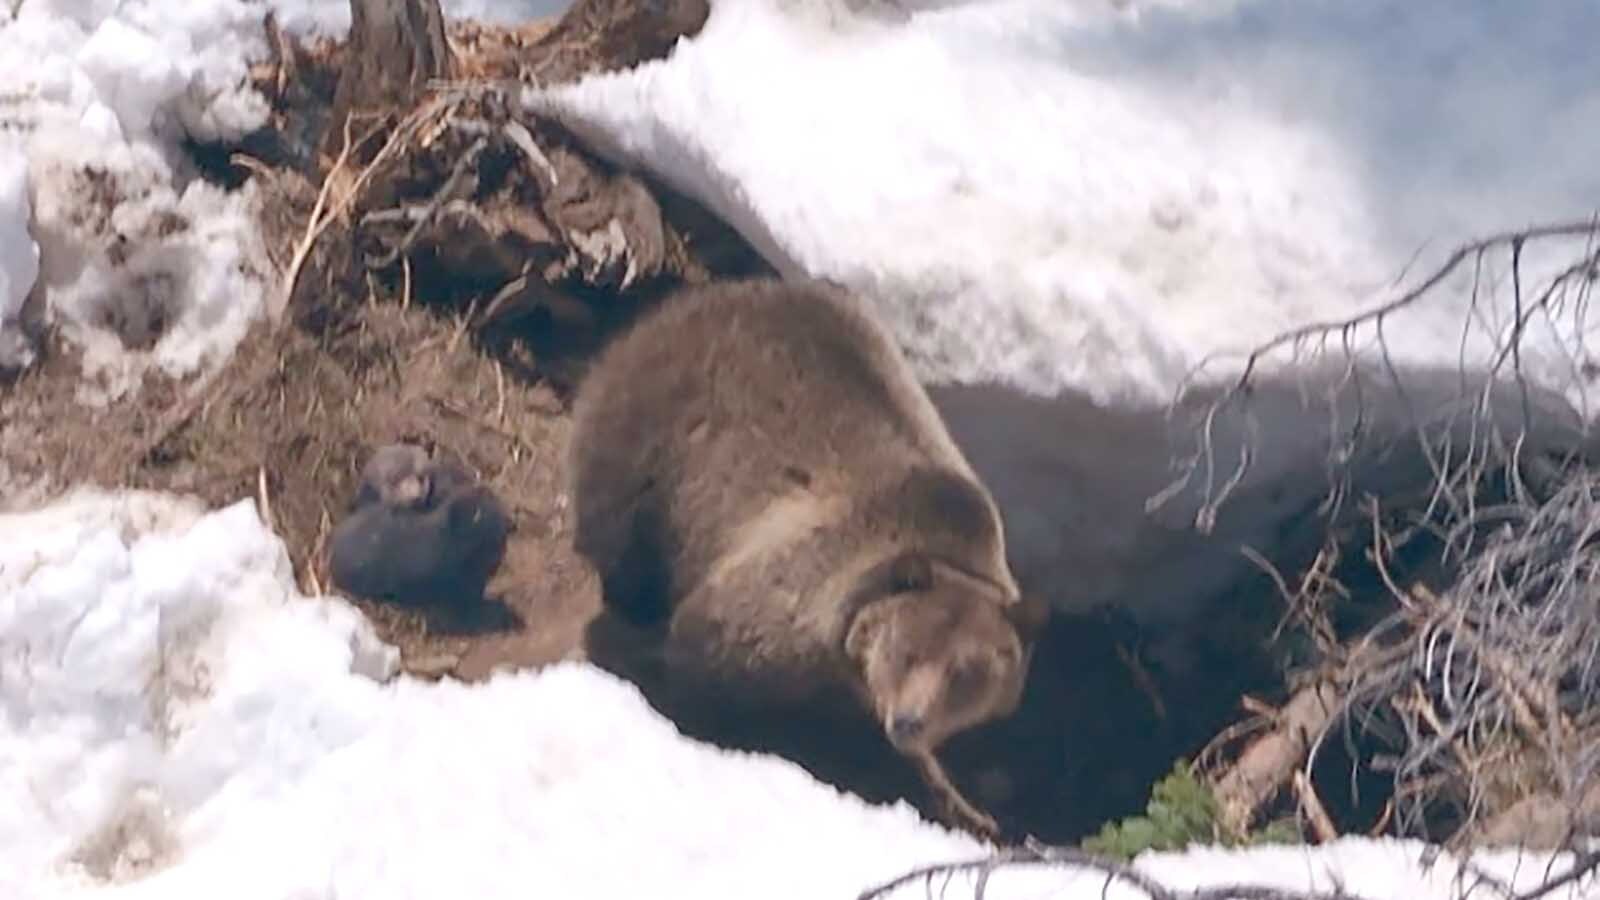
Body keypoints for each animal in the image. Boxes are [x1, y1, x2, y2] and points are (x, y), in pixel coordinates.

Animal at [566, 277, 1049, 838]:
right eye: (906, 650)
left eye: (966, 675)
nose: (909, 722)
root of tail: (711, 293)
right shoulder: (789, 598)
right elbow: (702, 654)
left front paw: (962, 803)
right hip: (660, 435)